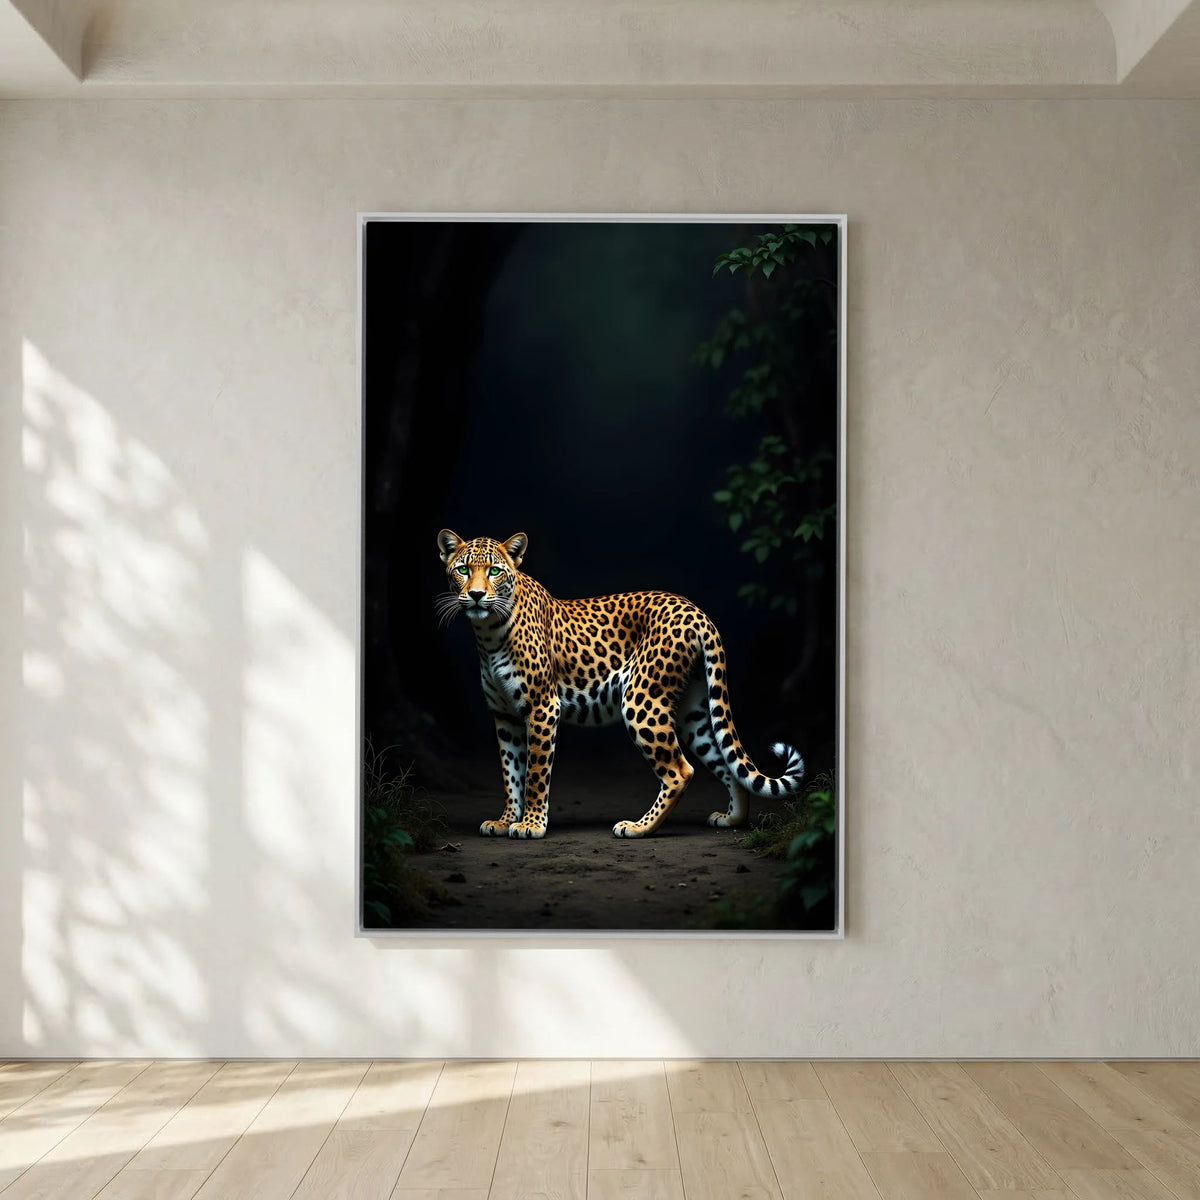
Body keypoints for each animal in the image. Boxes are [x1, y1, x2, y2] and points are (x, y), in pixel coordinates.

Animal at [436, 528, 806, 839]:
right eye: (463, 570)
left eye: (494, 571)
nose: (476, 595)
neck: (487, 633)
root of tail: (697, 611)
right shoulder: (505, 716)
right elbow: (510, 772)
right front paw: (505, 820)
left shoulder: (542, 708)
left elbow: (535, 774)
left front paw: (531, 825)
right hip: (692, 711)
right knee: (725, 760)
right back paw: (732, 819)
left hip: (642, 700)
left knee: (680, 770)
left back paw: (638, 827)